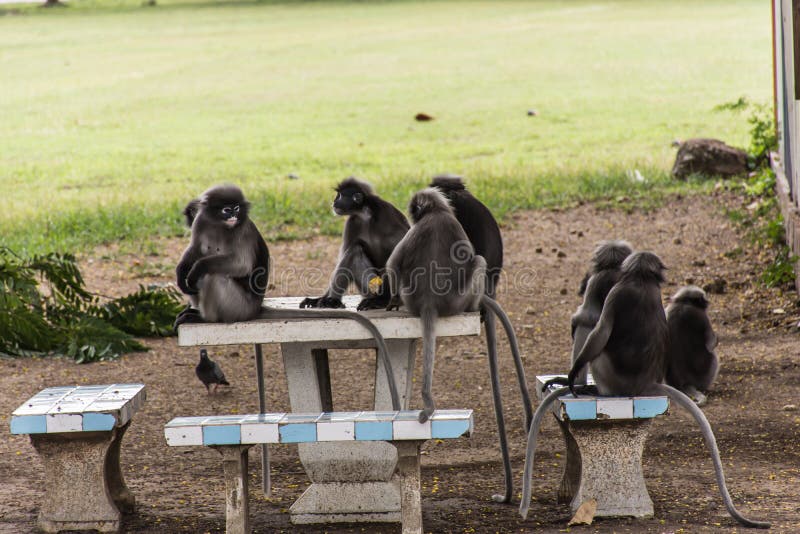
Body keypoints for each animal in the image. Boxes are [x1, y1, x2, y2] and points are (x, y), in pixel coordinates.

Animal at [173, 184, 400, 410]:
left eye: (236, 208)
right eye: (226, 210)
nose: (234, 216)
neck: (219, 226)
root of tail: (255, 307)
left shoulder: (241, 229)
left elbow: (240, 264)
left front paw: (197, 269)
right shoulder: (201, 222)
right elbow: (194, 250)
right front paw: (182, 271)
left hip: (237, 305)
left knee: (212, 274)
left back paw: (205, 317)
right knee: (200, 263)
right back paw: (194, 307)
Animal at [520, 253, 768, 532]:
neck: (639, 279)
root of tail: (643, 386)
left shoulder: (617, 292)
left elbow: (600, 329)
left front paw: (572, 376)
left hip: (610, 376)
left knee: (597, 339)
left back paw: (588, 386)